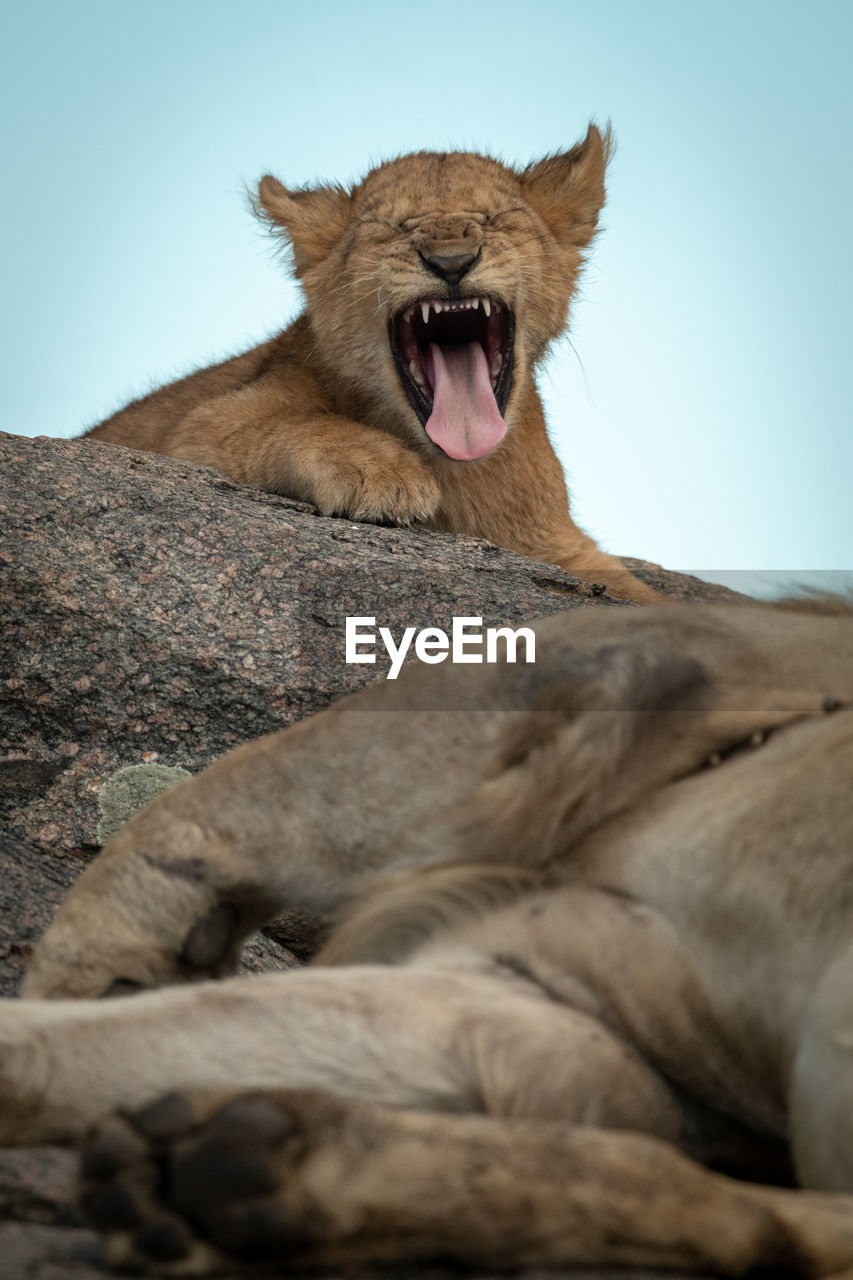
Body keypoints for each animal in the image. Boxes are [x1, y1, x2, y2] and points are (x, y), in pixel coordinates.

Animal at [83, 128, 653, 604]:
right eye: (394, 228)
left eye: (492, 220)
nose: (451, 262)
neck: (456, 467)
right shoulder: (201, 426)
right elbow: (290, 423)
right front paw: (378, 471)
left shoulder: (562, 544)